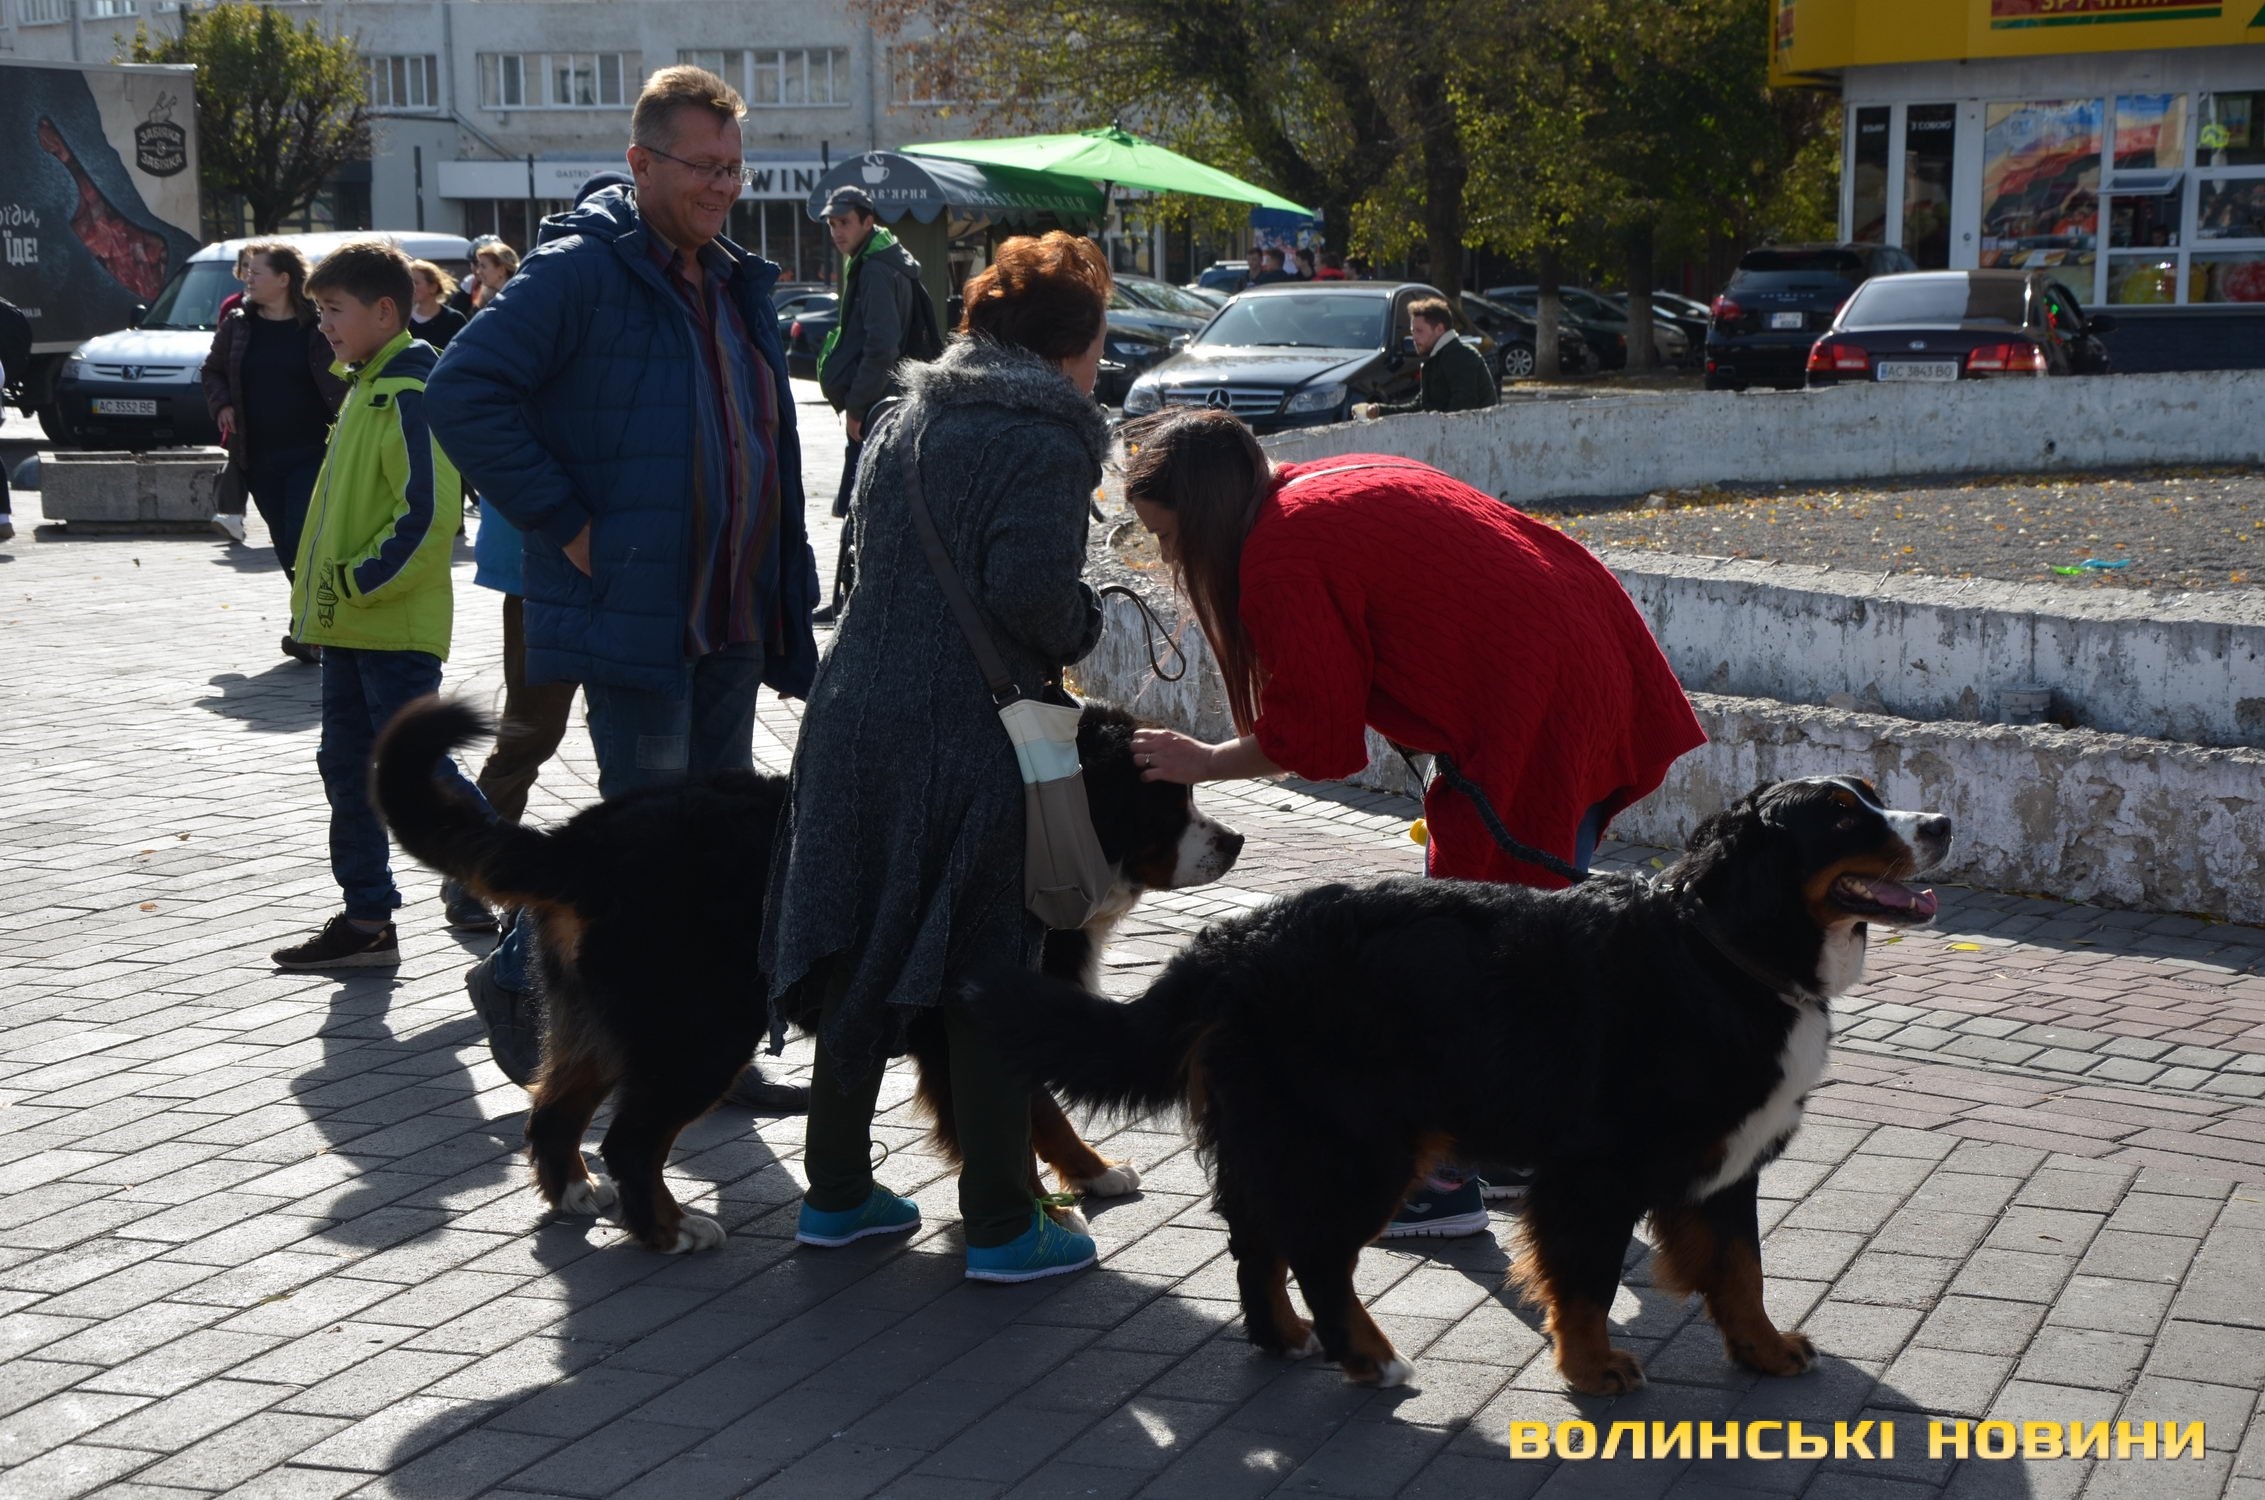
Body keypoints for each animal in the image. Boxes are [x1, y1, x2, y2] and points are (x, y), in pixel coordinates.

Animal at [372, 696, 1244, 1254]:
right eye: (1168, 801)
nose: (1232, 840)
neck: (1046, 829)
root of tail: (584, 840)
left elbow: (1038, 1117)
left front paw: (1088, 1176)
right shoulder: (973, 1017)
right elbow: (1026, 1117)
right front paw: (1045, 1209)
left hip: (604, 1021)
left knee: (553, 1113)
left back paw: (579, 1193)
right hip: (701, 1031)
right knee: (631, 1136)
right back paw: (668, 1230)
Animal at [966, 776, 1951, 1393]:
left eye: (1870, 793)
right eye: (1841, 816)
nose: (1939, 823)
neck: (1725, 952)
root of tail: (1238, 937)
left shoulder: (1725, 1161)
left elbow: (1741, 1270)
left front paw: (1764, 1350)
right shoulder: (1592, 1174)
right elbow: (1588, 1282)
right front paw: (1591, 1369)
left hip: (1284, 1139)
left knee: (1256, 1242)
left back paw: (1284, 1338)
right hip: (1360, 1144)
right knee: (1318, 1257)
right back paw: (1367, 1358)